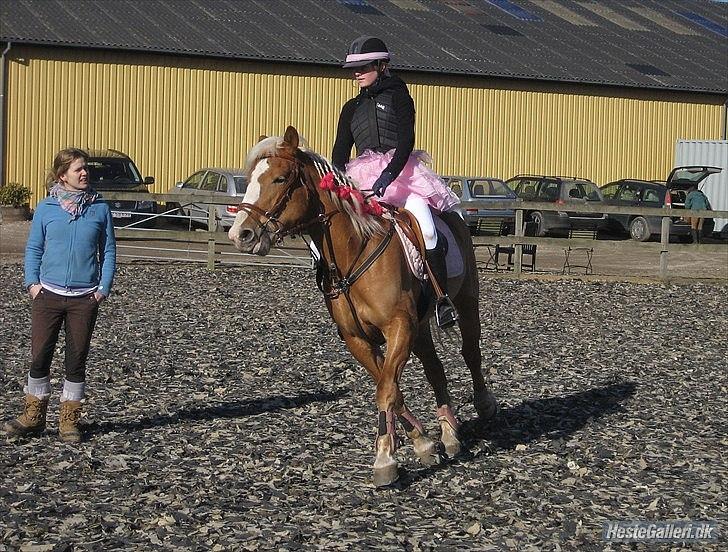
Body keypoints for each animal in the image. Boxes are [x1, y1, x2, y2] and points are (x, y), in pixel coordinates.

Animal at [230, 127, 498, 486]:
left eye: (280, 178)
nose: (240, 234)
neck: (353, 254)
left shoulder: (399, 327)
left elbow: (386, 390)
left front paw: (385, 460)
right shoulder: (358, 338)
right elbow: (390, 388)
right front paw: (422, 443)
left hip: (466, 303)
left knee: (471, 352)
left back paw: (484, 405)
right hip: (420, 328)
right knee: (435, 369)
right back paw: (449, 433)